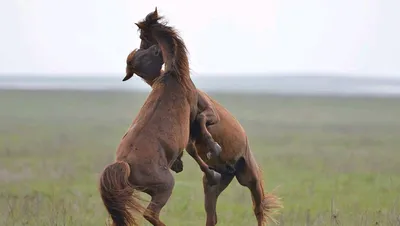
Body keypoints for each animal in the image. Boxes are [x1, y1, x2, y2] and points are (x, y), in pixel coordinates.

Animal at [99, 11, 205, 226]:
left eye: (142, 42)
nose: (155, 48)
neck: (172, 76)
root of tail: (124, 164)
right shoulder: (193, 114)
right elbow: (193, 145)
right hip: (165, 187)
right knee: (150, 214)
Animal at [126, 11, 282, 223]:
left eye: (143, 38)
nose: (149, 50)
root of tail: (233, 170)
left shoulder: (210, 114)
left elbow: (201, 123)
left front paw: (213, 147)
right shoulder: (188, 133)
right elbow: (191, 147)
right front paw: (185, 162)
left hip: (251, 177)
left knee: (259, 210)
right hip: (214, 189)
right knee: (212, 216)